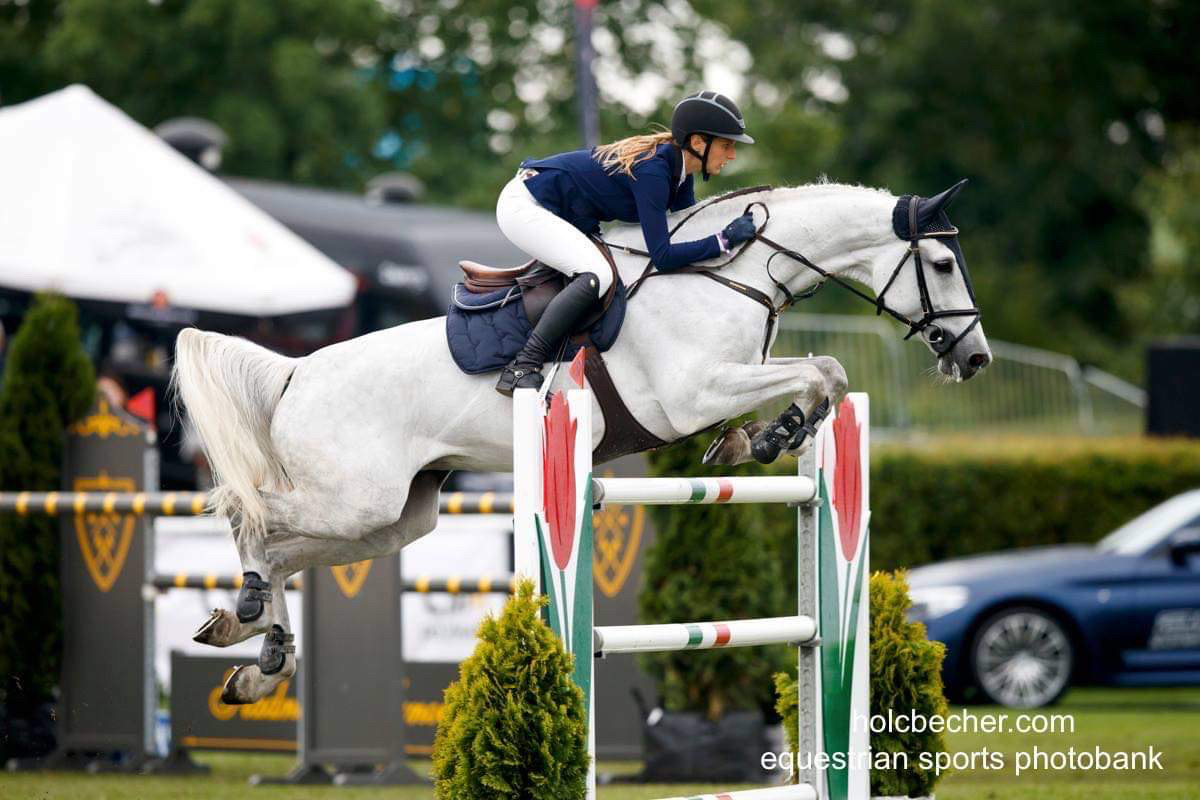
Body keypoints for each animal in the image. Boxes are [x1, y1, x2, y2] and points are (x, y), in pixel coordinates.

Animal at [172, 179, 990, 703]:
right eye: (942, 263)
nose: (975, 358)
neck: (734, 275)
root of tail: (295, 374)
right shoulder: (695, 391)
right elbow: (823, 369)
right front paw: (771, 436)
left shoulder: (721, 385)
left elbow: (825, 373)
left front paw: (766, 438)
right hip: (352, 500)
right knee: (249, 514)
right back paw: (248, 616)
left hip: (399, 517)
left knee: (285, 550)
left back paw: (252, 651)